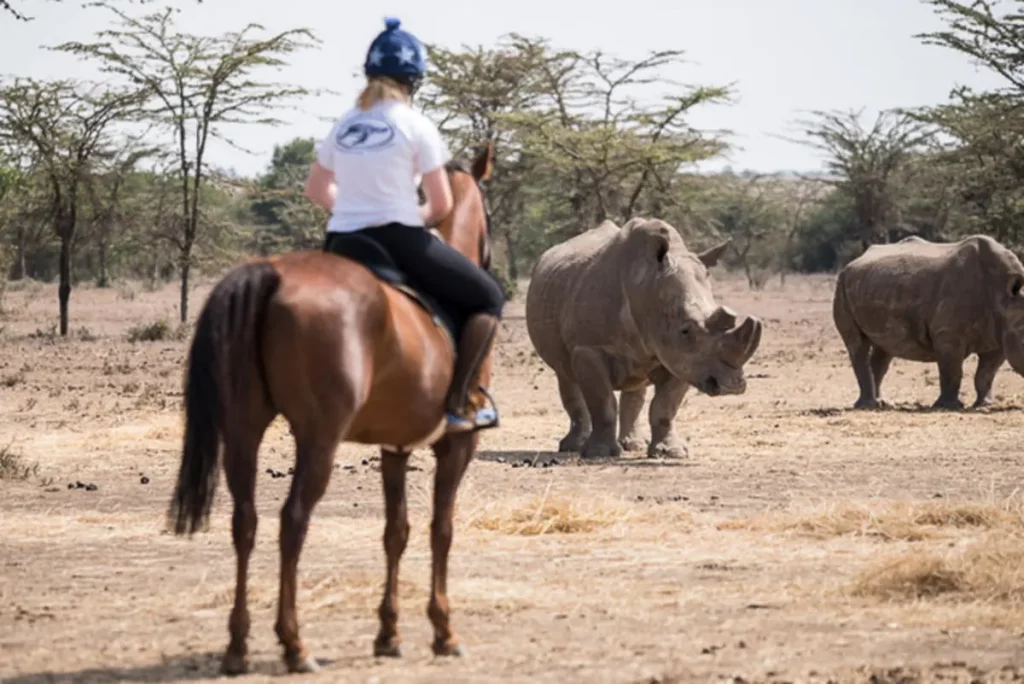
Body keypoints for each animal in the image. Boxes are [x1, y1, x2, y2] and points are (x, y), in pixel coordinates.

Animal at [165, 143, 497, 671]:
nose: (491, 257)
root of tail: (273, 273)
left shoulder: (394, 447)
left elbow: (396, 531)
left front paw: (388, 633)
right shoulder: (456, 446)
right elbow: (440, 530)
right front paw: (443, 632)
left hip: (243, 431)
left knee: (245, 521)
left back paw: (237, 648)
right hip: (319, 439)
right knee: (293, 520)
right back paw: (294, 644)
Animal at [528, 218, 761, 458]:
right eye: (685, 330)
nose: (732, 386)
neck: (647, 290)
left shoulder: (682, 357)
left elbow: (664, 406)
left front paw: (671, 453)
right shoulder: (589, 347)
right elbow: (603, 402)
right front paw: (600, 453)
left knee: (635, 384)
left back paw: (633, 445)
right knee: (565, 375)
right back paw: (573, 447)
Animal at [835, 235, 1024, 409]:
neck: (1004, 298)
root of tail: (851, 263)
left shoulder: (998, 338)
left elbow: (986, 373)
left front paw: (985, 405)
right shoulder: (948, 334)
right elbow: (952, 370)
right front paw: (949, 406)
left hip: (878, 286)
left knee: (884, 349)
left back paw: (883, 404)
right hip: (842, 286)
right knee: (858, 345)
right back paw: (868, 405)